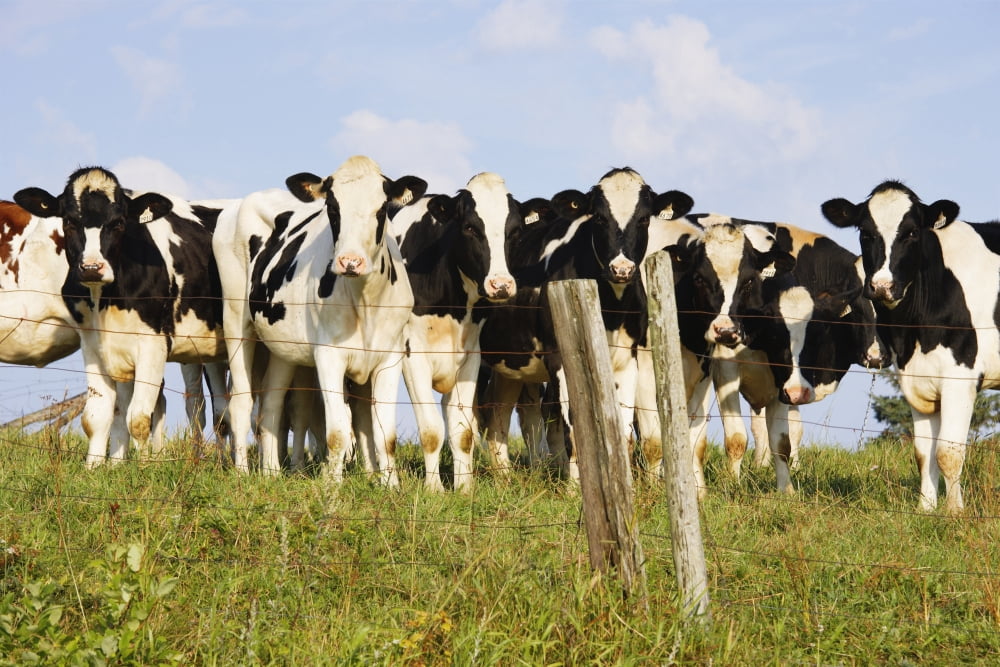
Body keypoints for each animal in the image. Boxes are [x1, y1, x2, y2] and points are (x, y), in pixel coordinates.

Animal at [14, 169, 230, 466]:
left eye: (118, 223)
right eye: (69, 221)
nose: (92, 267)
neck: (105, 300)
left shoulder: (153, 344)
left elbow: (138, 418)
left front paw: (144, 468)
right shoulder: (93, 345)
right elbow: (97, 416)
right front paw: (98, 467)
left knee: (222, 410)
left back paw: (225, 462)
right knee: (198, 405)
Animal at [221, 155, 426, 483]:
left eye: (382, 209)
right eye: (332, 207)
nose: (350, 261)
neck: (365, 301)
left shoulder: (390, 356)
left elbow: (386, 434)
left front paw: (391, 485)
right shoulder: (329, 356)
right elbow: (338, 433)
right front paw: (332, 485)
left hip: (282, 349)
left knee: (272, 404)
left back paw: (271, 473)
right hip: (236, 322)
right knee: (241, 402)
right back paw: (242, 474)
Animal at [391, 173, 542, 491]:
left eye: (515, 231)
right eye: (470, 227)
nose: (501, 285)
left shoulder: (471, 356)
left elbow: (462, 429)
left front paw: (464, 488)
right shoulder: (413, 356)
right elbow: (431, 429)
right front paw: (434, 490)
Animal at [822, 180, 1000, 514]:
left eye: (912, 232)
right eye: (865, 232)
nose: (882, 286)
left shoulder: (961, 377)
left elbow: (948, 451)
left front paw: (954, 513)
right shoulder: (916, 381)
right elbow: (923, 452)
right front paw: (925, 509)